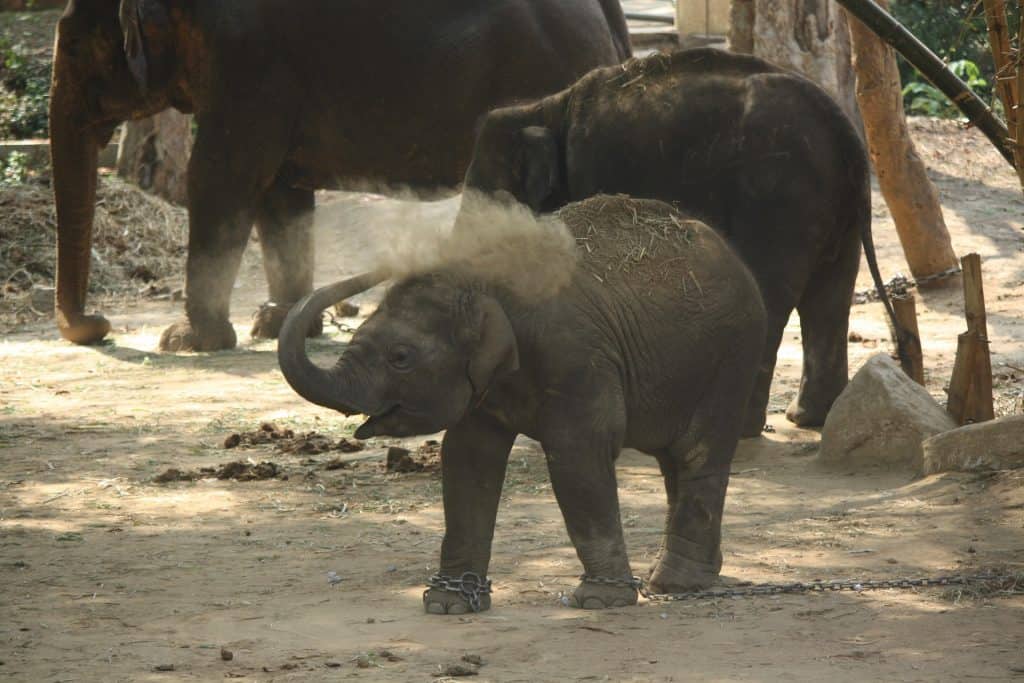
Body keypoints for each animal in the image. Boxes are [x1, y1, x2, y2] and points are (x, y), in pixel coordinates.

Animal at [49, 0, 630, 350]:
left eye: (76, 47)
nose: (99, 326)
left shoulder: (248, 64)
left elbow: (220, 177)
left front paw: (186, 340)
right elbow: (281, 194)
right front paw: (279, 324)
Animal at [276, 196, 765, 614]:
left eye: (400, 357)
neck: (481, 279)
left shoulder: (576, 358)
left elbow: (578, 456)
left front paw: (599, 600)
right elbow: (468, 459)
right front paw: (449, 604)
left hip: (731, 358)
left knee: (698, 454)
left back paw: (675, 584)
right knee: (673, 462)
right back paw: (692, 578)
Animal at [460, 48, 909, 436]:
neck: (546, 108)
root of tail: (843, 128)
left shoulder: (593, 170)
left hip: (780, 197)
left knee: (773, 292)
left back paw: (742, 429)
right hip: (836, 209)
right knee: (829, 296)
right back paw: (809, 418)